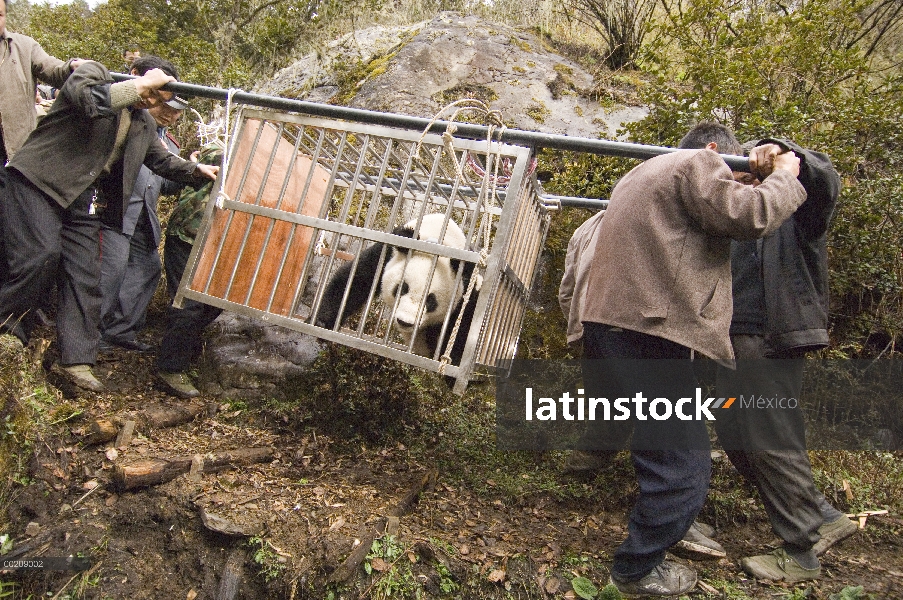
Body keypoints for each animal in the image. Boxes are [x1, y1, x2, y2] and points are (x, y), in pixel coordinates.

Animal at [320, 214, 484, 366]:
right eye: (402, 289)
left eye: (431, 301)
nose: (405, 322)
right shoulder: (388, 253)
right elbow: (358, 280)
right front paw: (323, 322)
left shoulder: (465, 285)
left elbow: (465, 319)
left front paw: (452, 358)